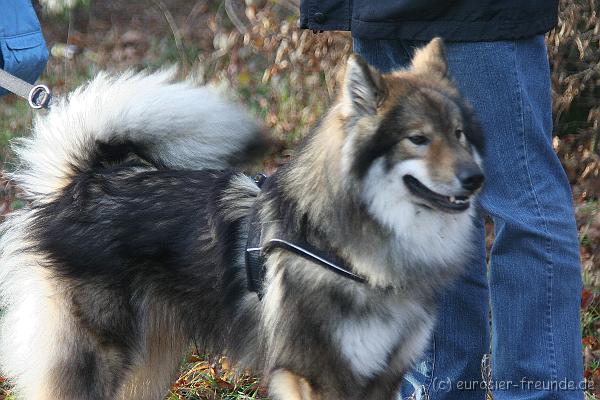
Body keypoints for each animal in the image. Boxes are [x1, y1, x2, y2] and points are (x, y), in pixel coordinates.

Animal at [0, 38, 482, 400]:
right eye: (417, 139)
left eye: (459, 134)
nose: (475, 178)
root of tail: (83, 183)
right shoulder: (318, 375)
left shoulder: (384, 375)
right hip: (98, 357)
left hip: (148, 363)